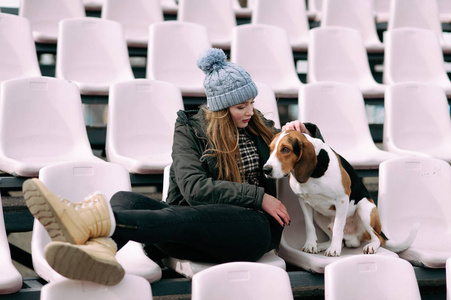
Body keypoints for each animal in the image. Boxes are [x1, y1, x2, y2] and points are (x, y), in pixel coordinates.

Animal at [264, 130, 418, 256]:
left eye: (285, 149)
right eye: (270, 149)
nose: (265, 169)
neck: (314, 174)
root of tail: (354, 237)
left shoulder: (342, 200)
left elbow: (338, 228)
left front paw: (334, 250)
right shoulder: (303, 200)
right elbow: (309, 226)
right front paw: (311, 245)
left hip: (365, 209)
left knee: (377, 237)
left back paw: (370, 246)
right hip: (319, 215)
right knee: (339, 239)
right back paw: (323, 245)